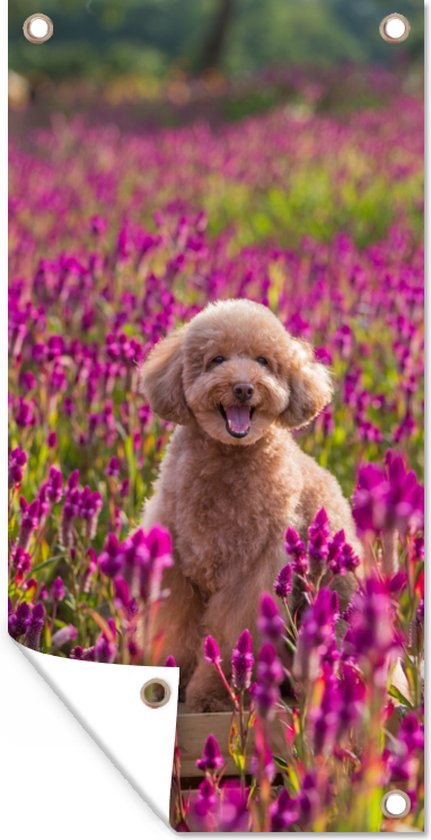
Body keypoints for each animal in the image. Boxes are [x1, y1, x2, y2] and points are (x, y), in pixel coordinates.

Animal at [140, 299, 361, 711]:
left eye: (264, 361)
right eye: (216, 360)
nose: (243, 388)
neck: (227, 457)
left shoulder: (252, 573)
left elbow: (231, 639)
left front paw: (213, 697)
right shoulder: (178, 571)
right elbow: (177, 630)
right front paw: (171, 676)